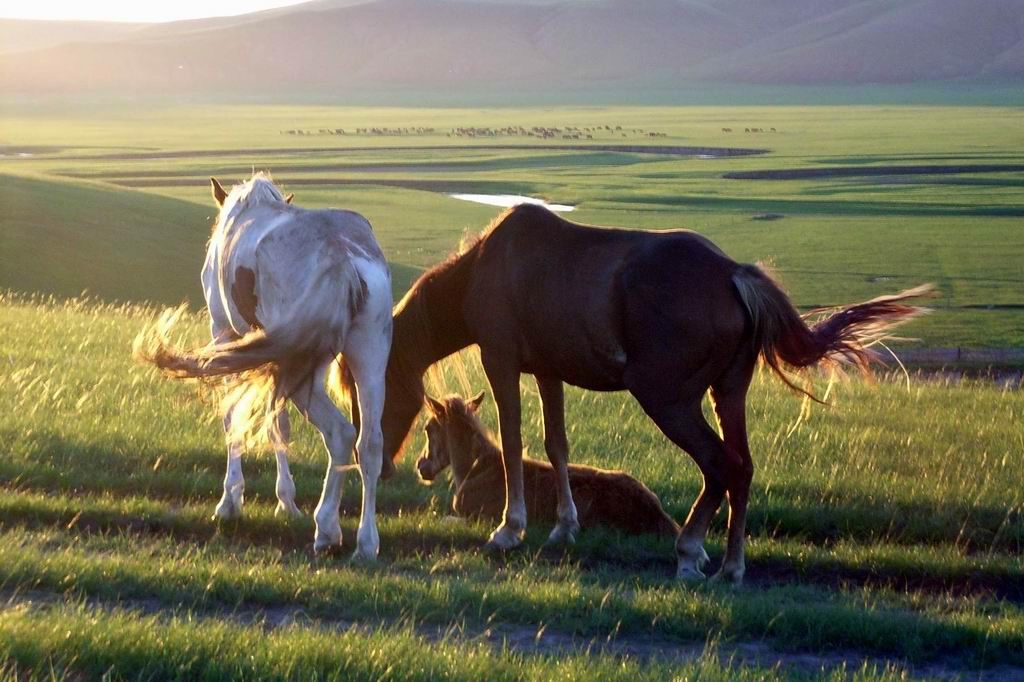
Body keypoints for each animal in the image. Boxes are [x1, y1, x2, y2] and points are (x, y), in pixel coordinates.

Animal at [136, 171, 391, 557]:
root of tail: (342, 257)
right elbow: (277, 425)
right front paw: (284, 501)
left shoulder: (225, 335)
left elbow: (238, 418)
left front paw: (232, 502)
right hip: (369, 358)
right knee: (369, 443)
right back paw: (365, 542)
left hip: (297, 362)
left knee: (340, 432)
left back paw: (326, 528)